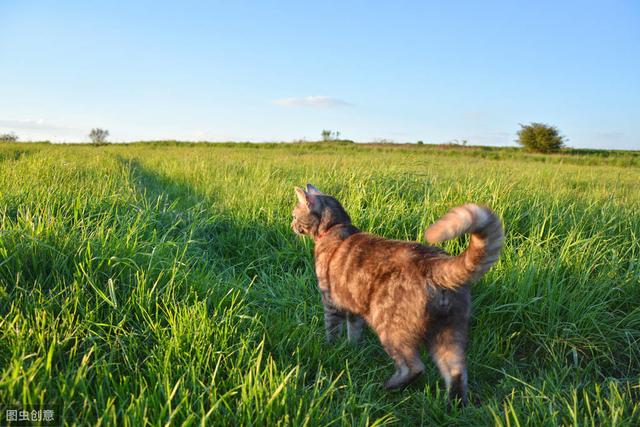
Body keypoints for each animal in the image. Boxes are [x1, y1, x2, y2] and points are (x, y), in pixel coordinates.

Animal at [292, 184, 504, 404]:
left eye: (294, 215)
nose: (291, 225)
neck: (334, 226)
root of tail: (435, 264)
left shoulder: (330, 301)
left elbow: (332, 330)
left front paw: (331, 348)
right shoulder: (353, 307)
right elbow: (354, 331)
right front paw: (352, 350)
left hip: (390, 327)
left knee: (414, 366)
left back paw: (387, 386)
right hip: (449, 332)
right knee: (457, 372)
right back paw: (454, 405)